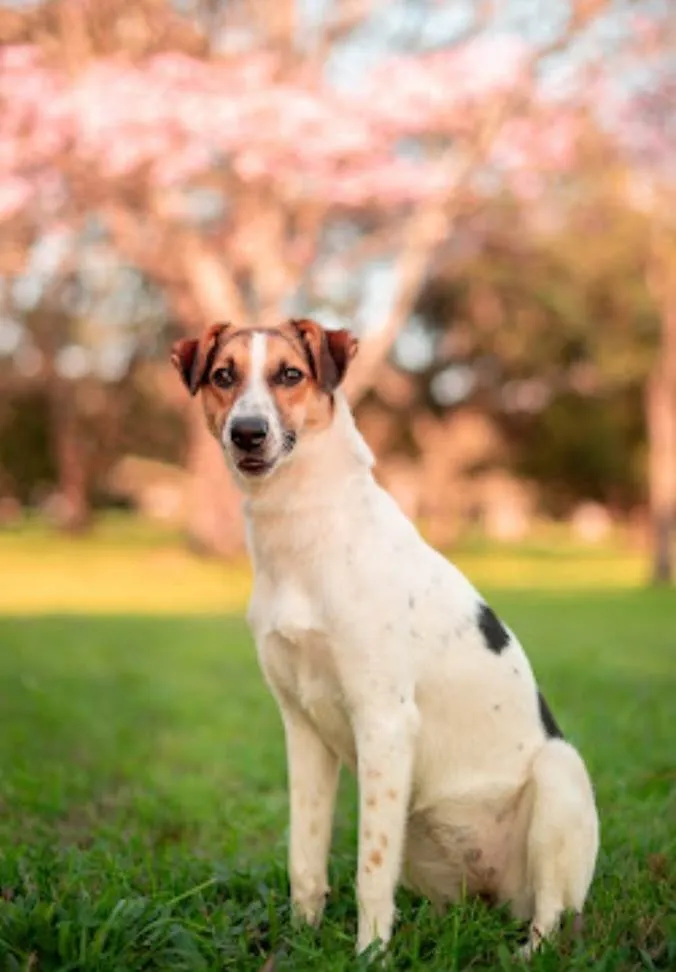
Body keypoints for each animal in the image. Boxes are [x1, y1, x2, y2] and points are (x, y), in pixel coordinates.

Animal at [172, 318, 600, 956]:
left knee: (551, 916)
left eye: (289, 374)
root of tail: (495, 896)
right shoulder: (302, 729)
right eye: (224, 376)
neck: (302, 529)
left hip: (559, 773)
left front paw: (369, 955)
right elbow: (305, 858)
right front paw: (300, 941)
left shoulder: (384, 721)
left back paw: (525, 953)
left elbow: (369, 870)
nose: (248, 433)